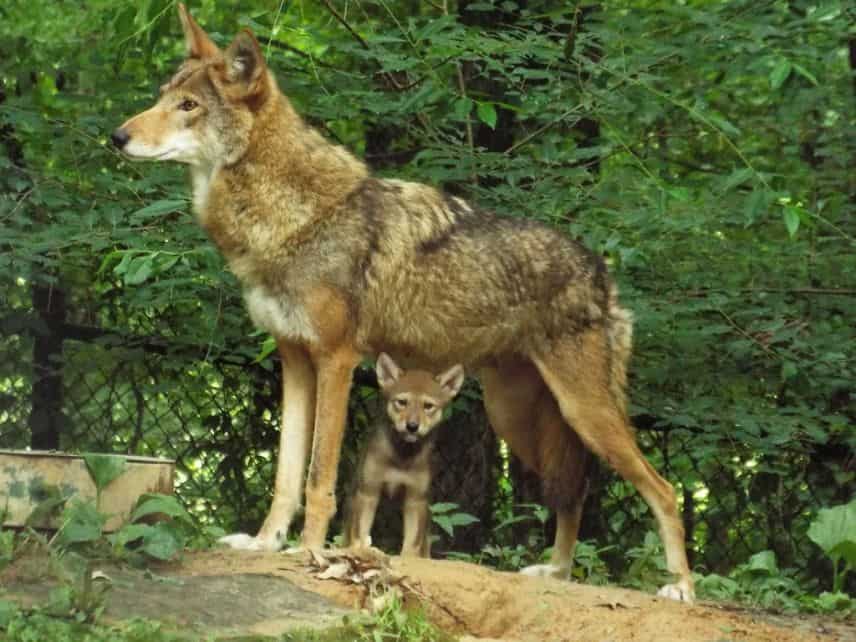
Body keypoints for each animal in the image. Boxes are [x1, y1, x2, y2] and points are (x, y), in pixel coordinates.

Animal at [344, 353, 465, 558]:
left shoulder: (415, 499)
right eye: (401, 402)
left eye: (428, 406)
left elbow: (411, 545)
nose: (412, 426)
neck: (401, 457)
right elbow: (360, 535)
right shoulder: (369, 492)